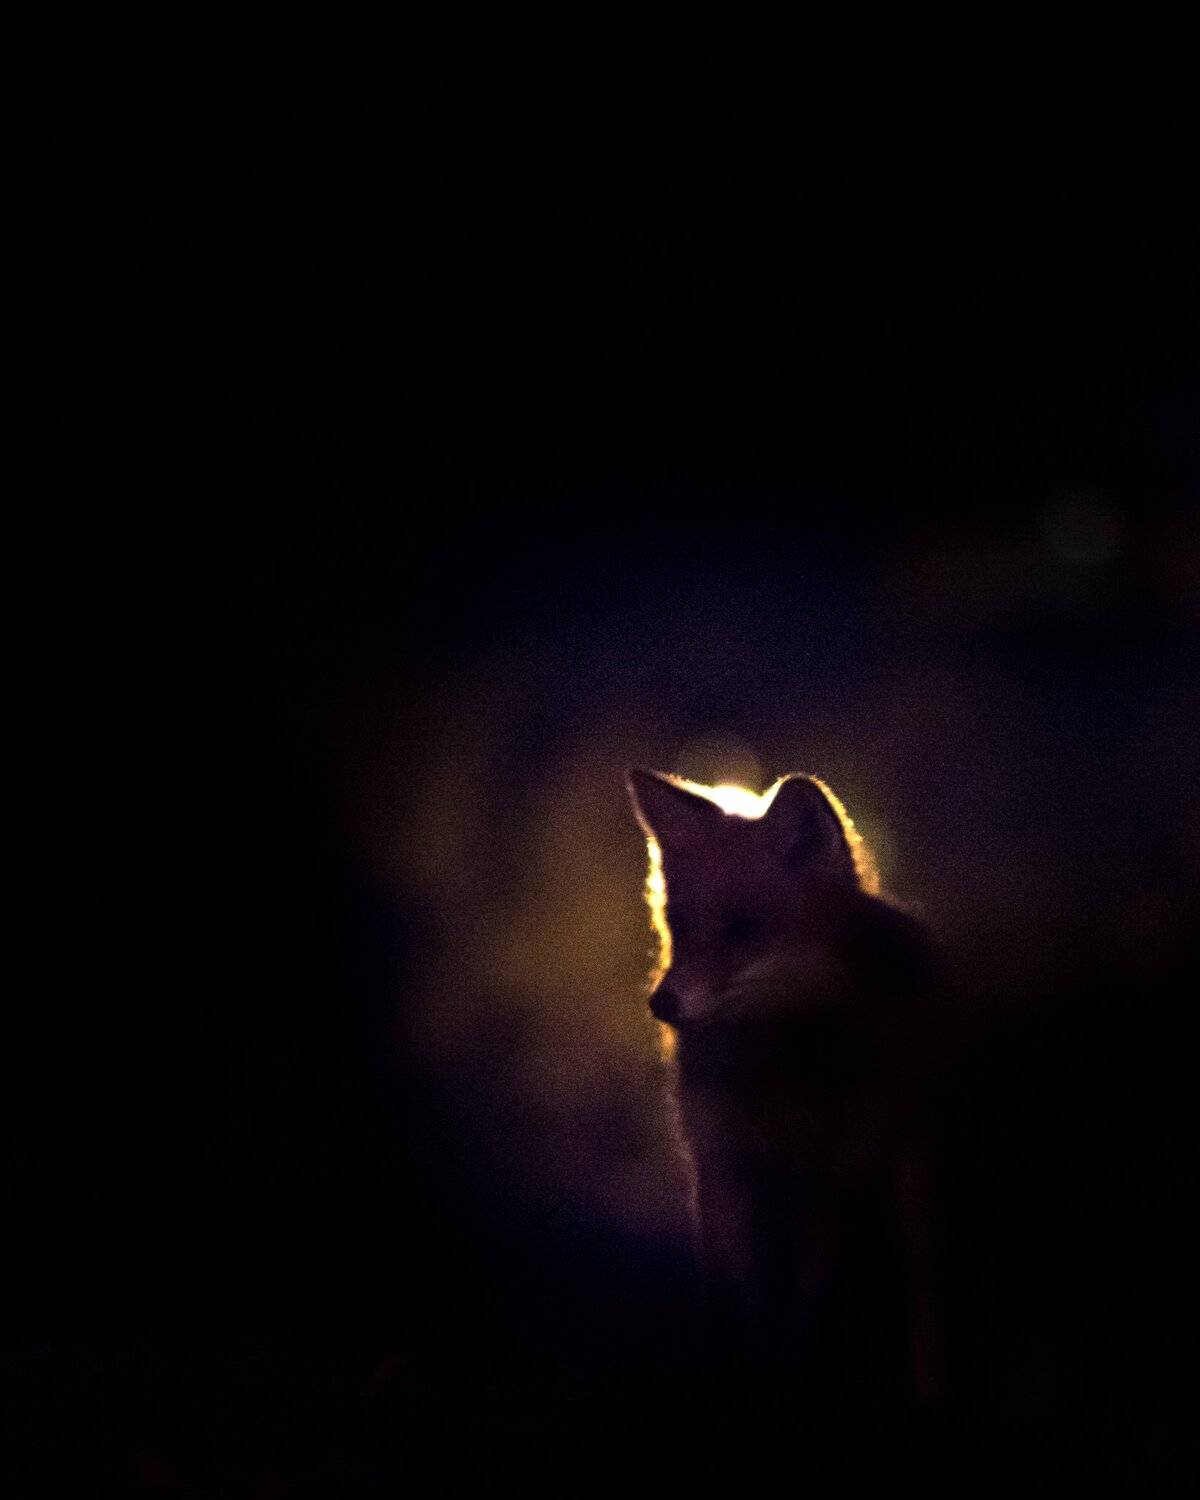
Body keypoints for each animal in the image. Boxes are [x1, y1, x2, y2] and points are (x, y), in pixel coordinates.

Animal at [627, 768, 945, 1406]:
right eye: (680, 925)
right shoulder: (726, 1173)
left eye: (743, 932)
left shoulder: (830, 1176)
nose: (661, 1004)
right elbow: (738, 1315)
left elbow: (808, 1314)